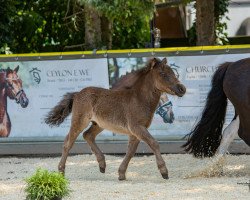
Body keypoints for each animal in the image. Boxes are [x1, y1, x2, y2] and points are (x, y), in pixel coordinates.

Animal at [45, 57, 186, 180]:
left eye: (173, 73)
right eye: (163, 73)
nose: (182, 89)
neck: (139, 99)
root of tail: (77, 94)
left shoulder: (136, 132)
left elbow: (131, 151)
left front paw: (121, 174)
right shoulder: (137, 128)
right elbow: (154, 143)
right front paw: (164, 172)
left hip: (99, 124)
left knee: (87, 135)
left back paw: (102, 165)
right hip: (80, 121)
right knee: (68, 142)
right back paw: (61, 171)